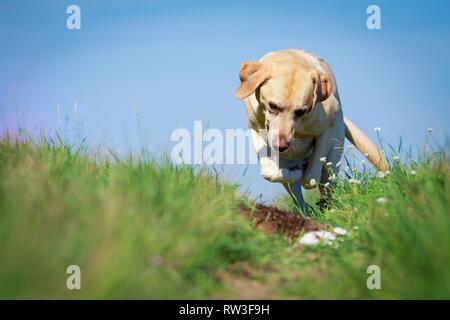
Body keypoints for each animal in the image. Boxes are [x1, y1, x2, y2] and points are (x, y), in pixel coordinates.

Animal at [236, 49, 386, 215]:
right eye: (273, 105)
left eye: (300, 111)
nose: (281, 146)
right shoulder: (256, 129)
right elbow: (270, 172)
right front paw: (292, 172)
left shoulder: (327, 131)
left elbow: (309, 179)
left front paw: (302, 173)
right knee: (295, 193)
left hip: (334, 157)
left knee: (326, 185)